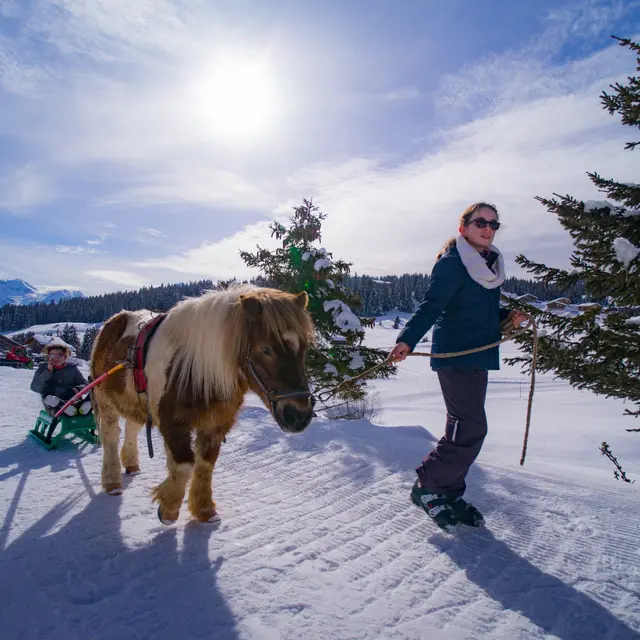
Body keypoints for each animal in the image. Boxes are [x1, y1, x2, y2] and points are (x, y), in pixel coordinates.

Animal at [91, 286, 316, 524]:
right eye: (265, 350)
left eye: (304, 347)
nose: (299, 416)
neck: (193, 367)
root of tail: (115, 320)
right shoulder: (172, 424)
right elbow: (185, 465)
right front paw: (169, 507)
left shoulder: (215, 424)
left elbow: (205, 463)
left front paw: (204, 509)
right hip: (104, 399)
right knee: (111, 436)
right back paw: (112, 482)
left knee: (132, 428)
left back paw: (131, 463)